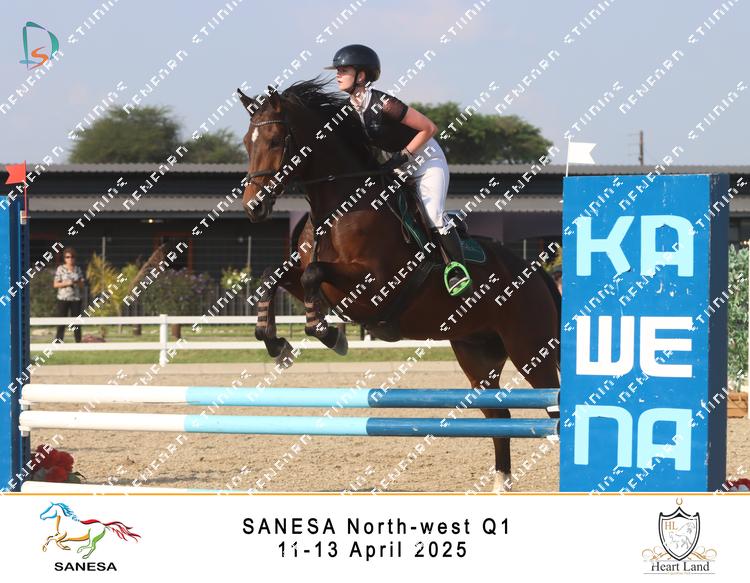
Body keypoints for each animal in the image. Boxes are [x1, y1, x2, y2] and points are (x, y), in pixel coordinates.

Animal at [236, 78, 561, 492]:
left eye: (276, 140)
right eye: (247, 143)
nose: (253, 208)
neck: (339, 206)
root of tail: (535, 273)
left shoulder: (376, 285)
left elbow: (313, 276)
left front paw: (329, 335)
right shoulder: (313, 278)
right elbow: (273, 278)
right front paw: (276, 343)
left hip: (530, 347)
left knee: (553, 406)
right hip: (477, 351)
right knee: (498, 415)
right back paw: (501, 482)